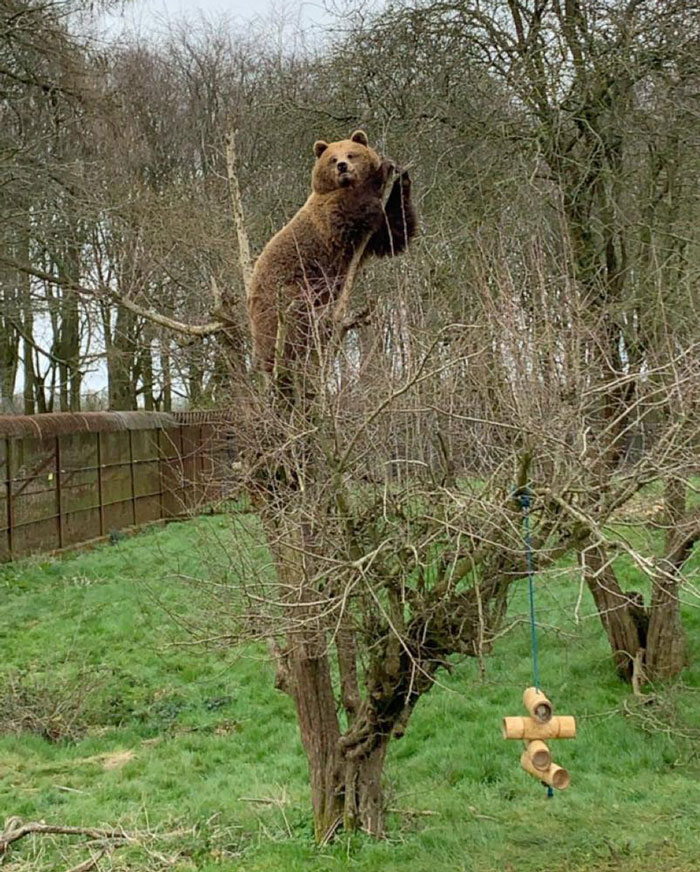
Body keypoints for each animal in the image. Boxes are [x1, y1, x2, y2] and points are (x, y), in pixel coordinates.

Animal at [247, 130, 416, 374]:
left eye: (351, 153)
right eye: (333, 158)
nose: (343, 166)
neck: (341, 186)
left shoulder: (372, 236)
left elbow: (394, 232)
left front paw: (401, 176)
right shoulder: (328, 217)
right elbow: (349, 210)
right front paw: (382, 170)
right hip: (284, 295)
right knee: (293, 325)